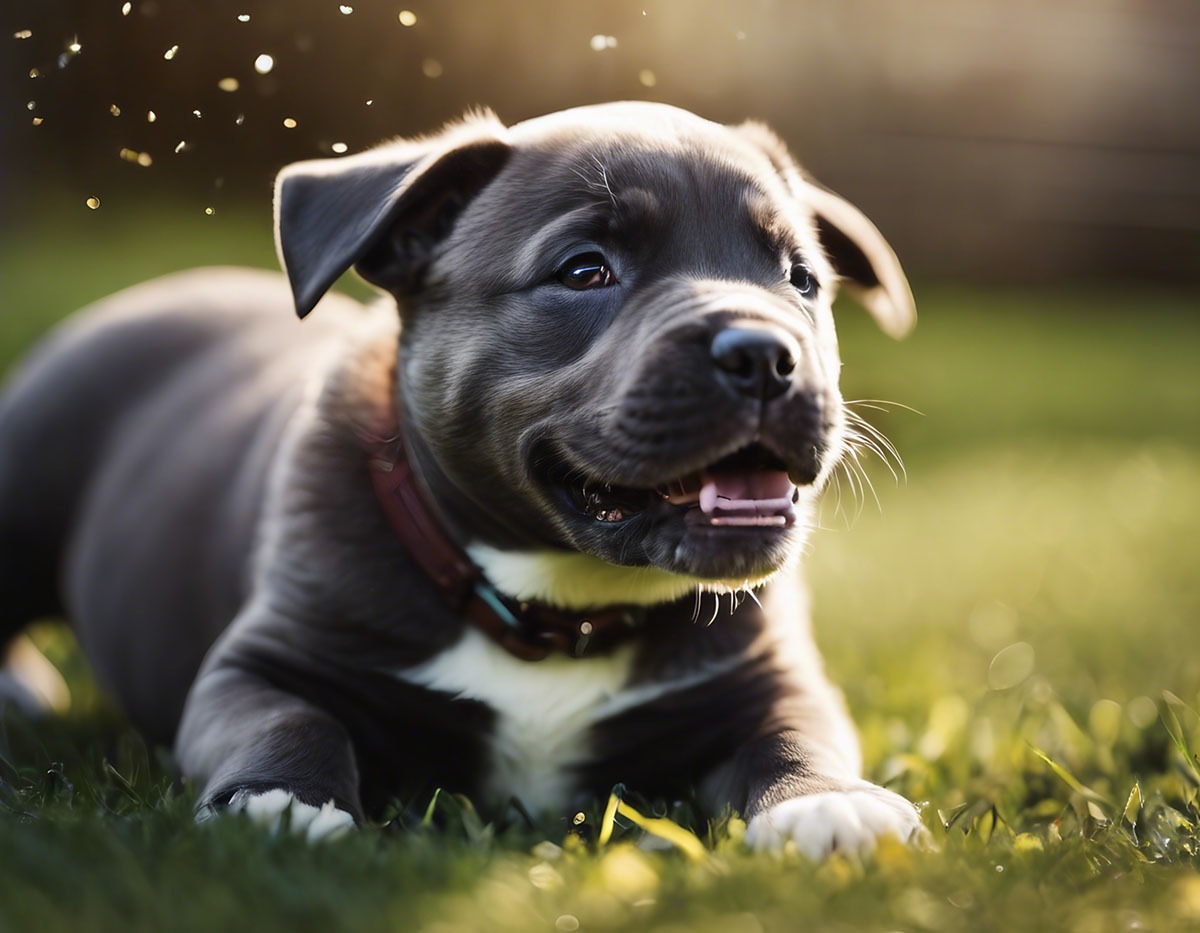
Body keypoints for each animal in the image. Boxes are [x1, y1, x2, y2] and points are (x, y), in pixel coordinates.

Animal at [0, 100, 916, 849]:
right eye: (584, 270)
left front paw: (827, 800)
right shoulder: (262, 661)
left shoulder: (767, 680)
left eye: (803, 280)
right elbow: (284, 719)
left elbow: (796, 731)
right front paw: (280, 802)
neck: (556, 611)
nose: (766, 355)